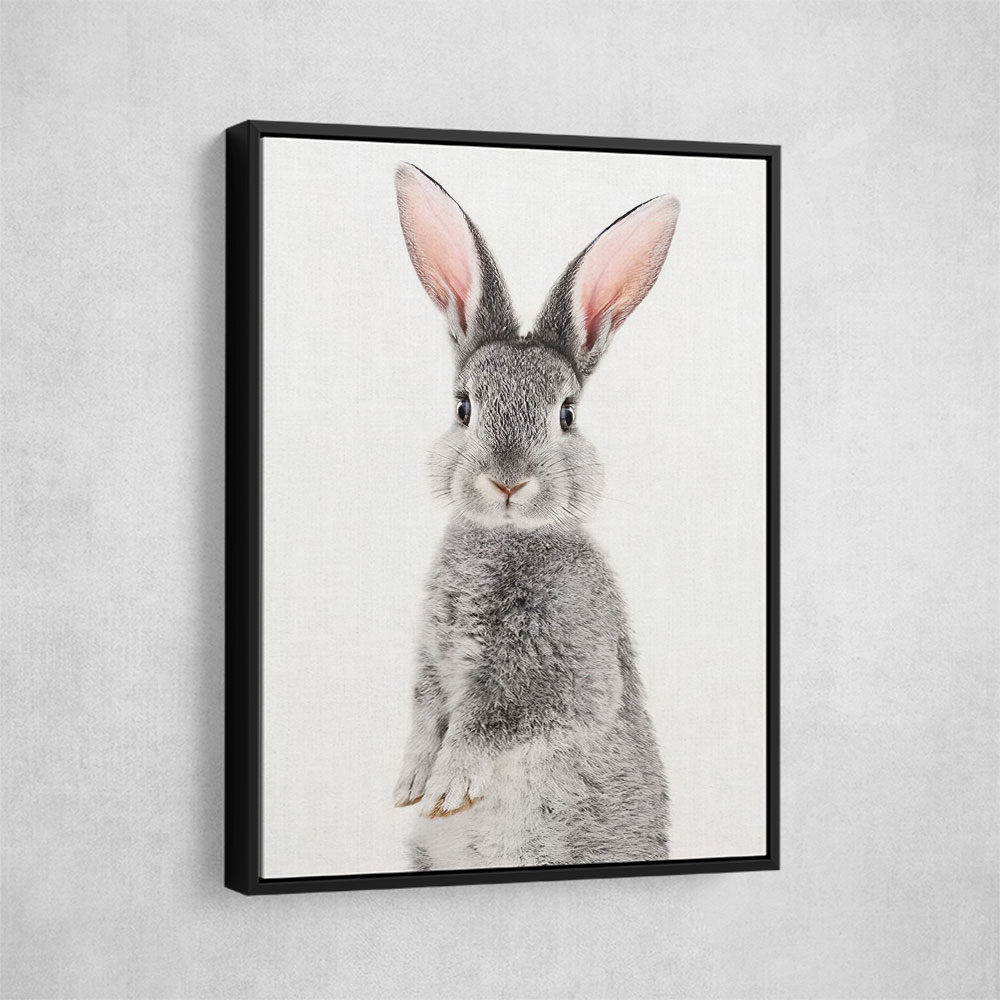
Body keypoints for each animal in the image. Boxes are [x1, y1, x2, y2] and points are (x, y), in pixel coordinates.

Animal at [392, 162, 680, 870]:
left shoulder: (565, 676)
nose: (507, 480)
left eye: (567, 414)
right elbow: (426, 715)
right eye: (463, 407)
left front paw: (446, 785)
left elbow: (493, 721)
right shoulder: (432, 666)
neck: (505, 537)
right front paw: (411, 784)